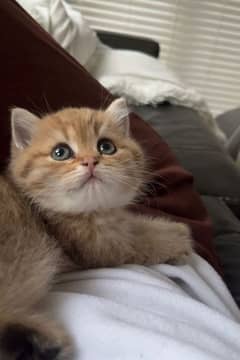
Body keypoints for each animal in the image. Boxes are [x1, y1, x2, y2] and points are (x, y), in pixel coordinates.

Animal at [0, 98, 192, 360]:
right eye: (60, 152)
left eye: (106, 146)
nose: (90, 161)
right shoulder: (104, 248)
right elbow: (144, 241)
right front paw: (178, 237)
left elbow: (133, 224)